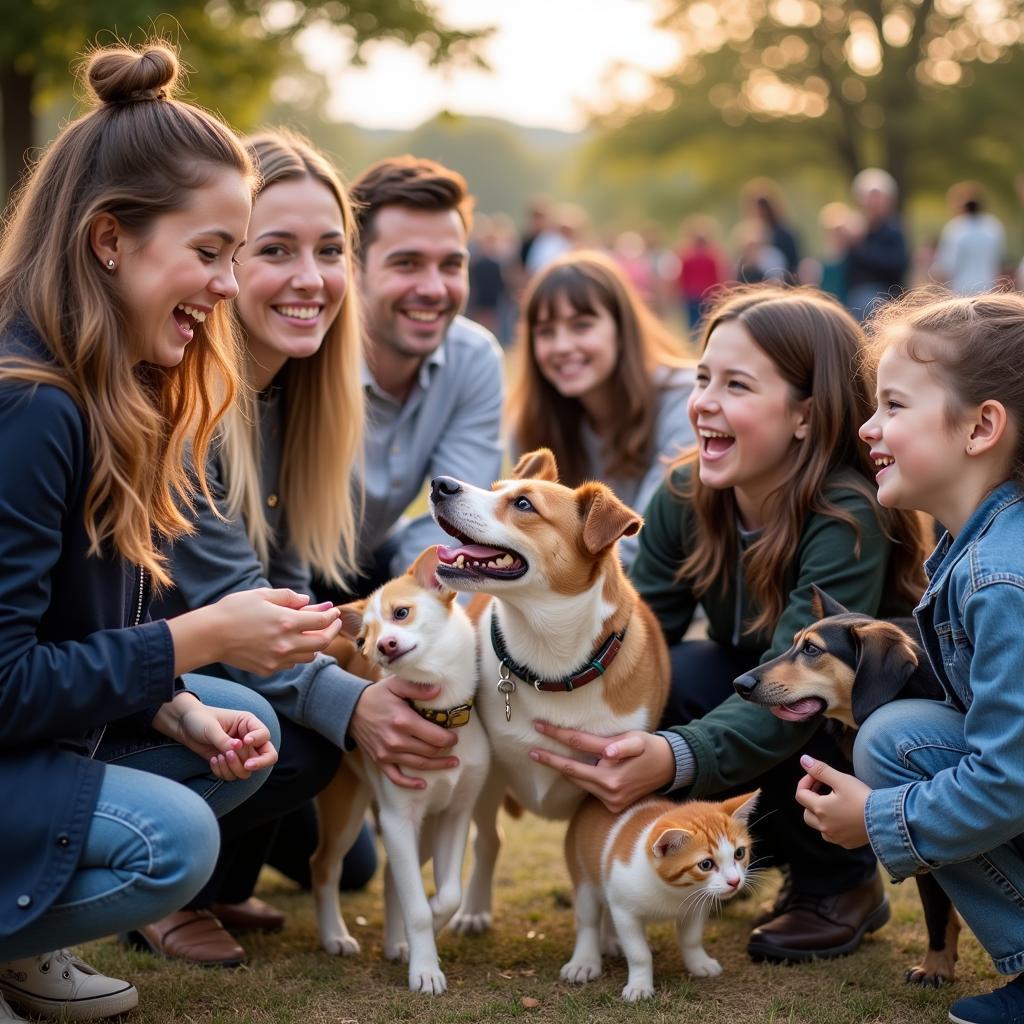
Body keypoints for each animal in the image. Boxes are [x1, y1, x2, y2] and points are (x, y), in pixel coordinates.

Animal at [307, 548, 487, 995]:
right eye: (363, 640)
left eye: (401, 613)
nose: (383, 646)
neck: (438, 714)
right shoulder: (397, 818)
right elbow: (417, 906)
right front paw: (425, 969)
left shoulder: (454, 815)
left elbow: (446, 896)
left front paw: (420, 936)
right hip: (348, 809)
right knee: (324, 866)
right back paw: (335, 936)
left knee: (391, 875)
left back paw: (395, 943)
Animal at [425, 448, 671, 937]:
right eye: (495, 488)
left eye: (524, 504)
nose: (440, 484)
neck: (551, 663)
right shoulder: (488, 772)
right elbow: (484, 841)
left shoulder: (616, 784)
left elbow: (607, 852)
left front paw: (612, 936)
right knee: (490, 840)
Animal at [561, 790, 761, 999]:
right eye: (706, 864)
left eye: (739, 853)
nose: (735, 881)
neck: (674, 890)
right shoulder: (625, 911)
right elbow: (639, 953)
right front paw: (640, 986)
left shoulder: (696, 906)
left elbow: (691, 939)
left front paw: (699, 963)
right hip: (582, 877)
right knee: (588, 922)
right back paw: (584, 961)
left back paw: (611, 941)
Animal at [733, 589, 954, 987]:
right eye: (793, 644)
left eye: (812, 650)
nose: (739, 684)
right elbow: (937, 905)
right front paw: (939, 963)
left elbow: (937, 903)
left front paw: (935, 967)